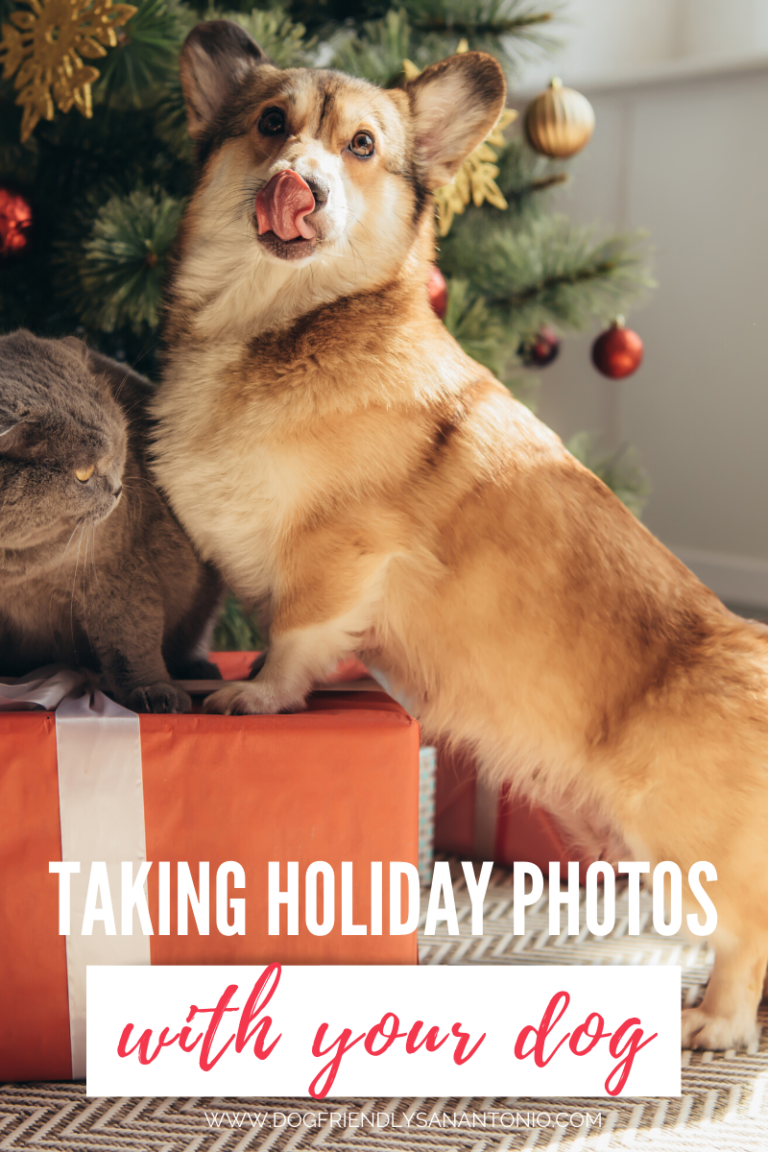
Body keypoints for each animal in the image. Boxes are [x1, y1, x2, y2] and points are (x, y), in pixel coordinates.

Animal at [0, 329, 222, 709]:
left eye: (120, 448)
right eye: (83, 473)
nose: (118, 489)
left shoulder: (113, 567)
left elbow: (130, 635)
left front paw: (152, 690)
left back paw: (198, 670)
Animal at [153, 18, 768, 1050]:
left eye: (362, 147)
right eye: (272, 124)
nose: (302, 184)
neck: (280, 322)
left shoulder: (338, 552)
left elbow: (295, 635)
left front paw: (261, 697)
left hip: (684, 843)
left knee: (745, 935)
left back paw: (715, 1025)